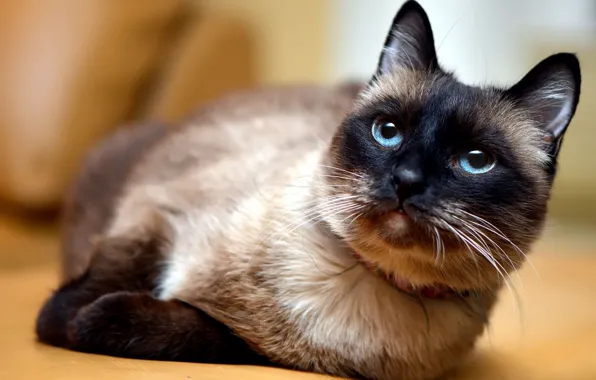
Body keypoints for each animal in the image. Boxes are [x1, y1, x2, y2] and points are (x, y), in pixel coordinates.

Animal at [35, 1, 580, 378]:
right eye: (388, 132)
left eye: (475, 161)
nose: (406, 181)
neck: (360, 280)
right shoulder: (160, 213)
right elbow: (89, 293)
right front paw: (61, 320)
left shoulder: (263, 351)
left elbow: (186, 329)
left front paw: (92, 320)